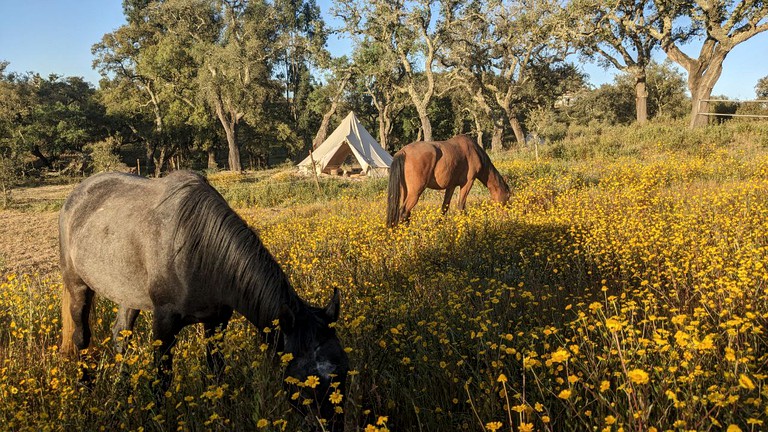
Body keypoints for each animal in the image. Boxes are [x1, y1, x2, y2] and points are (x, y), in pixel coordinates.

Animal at [60, 170, 348, 430]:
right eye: (302, 379)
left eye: (343, 370)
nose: (330, 426)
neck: (197, 249)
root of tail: (77, 195)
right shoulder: (164, 323)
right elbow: (162, 378)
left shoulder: (217, 321)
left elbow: (216, 370)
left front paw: (221, 415)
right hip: (78, 287)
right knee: (81, 337)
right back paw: (86, 392)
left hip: (128, 295)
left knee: (121, 336)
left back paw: (121, 394)